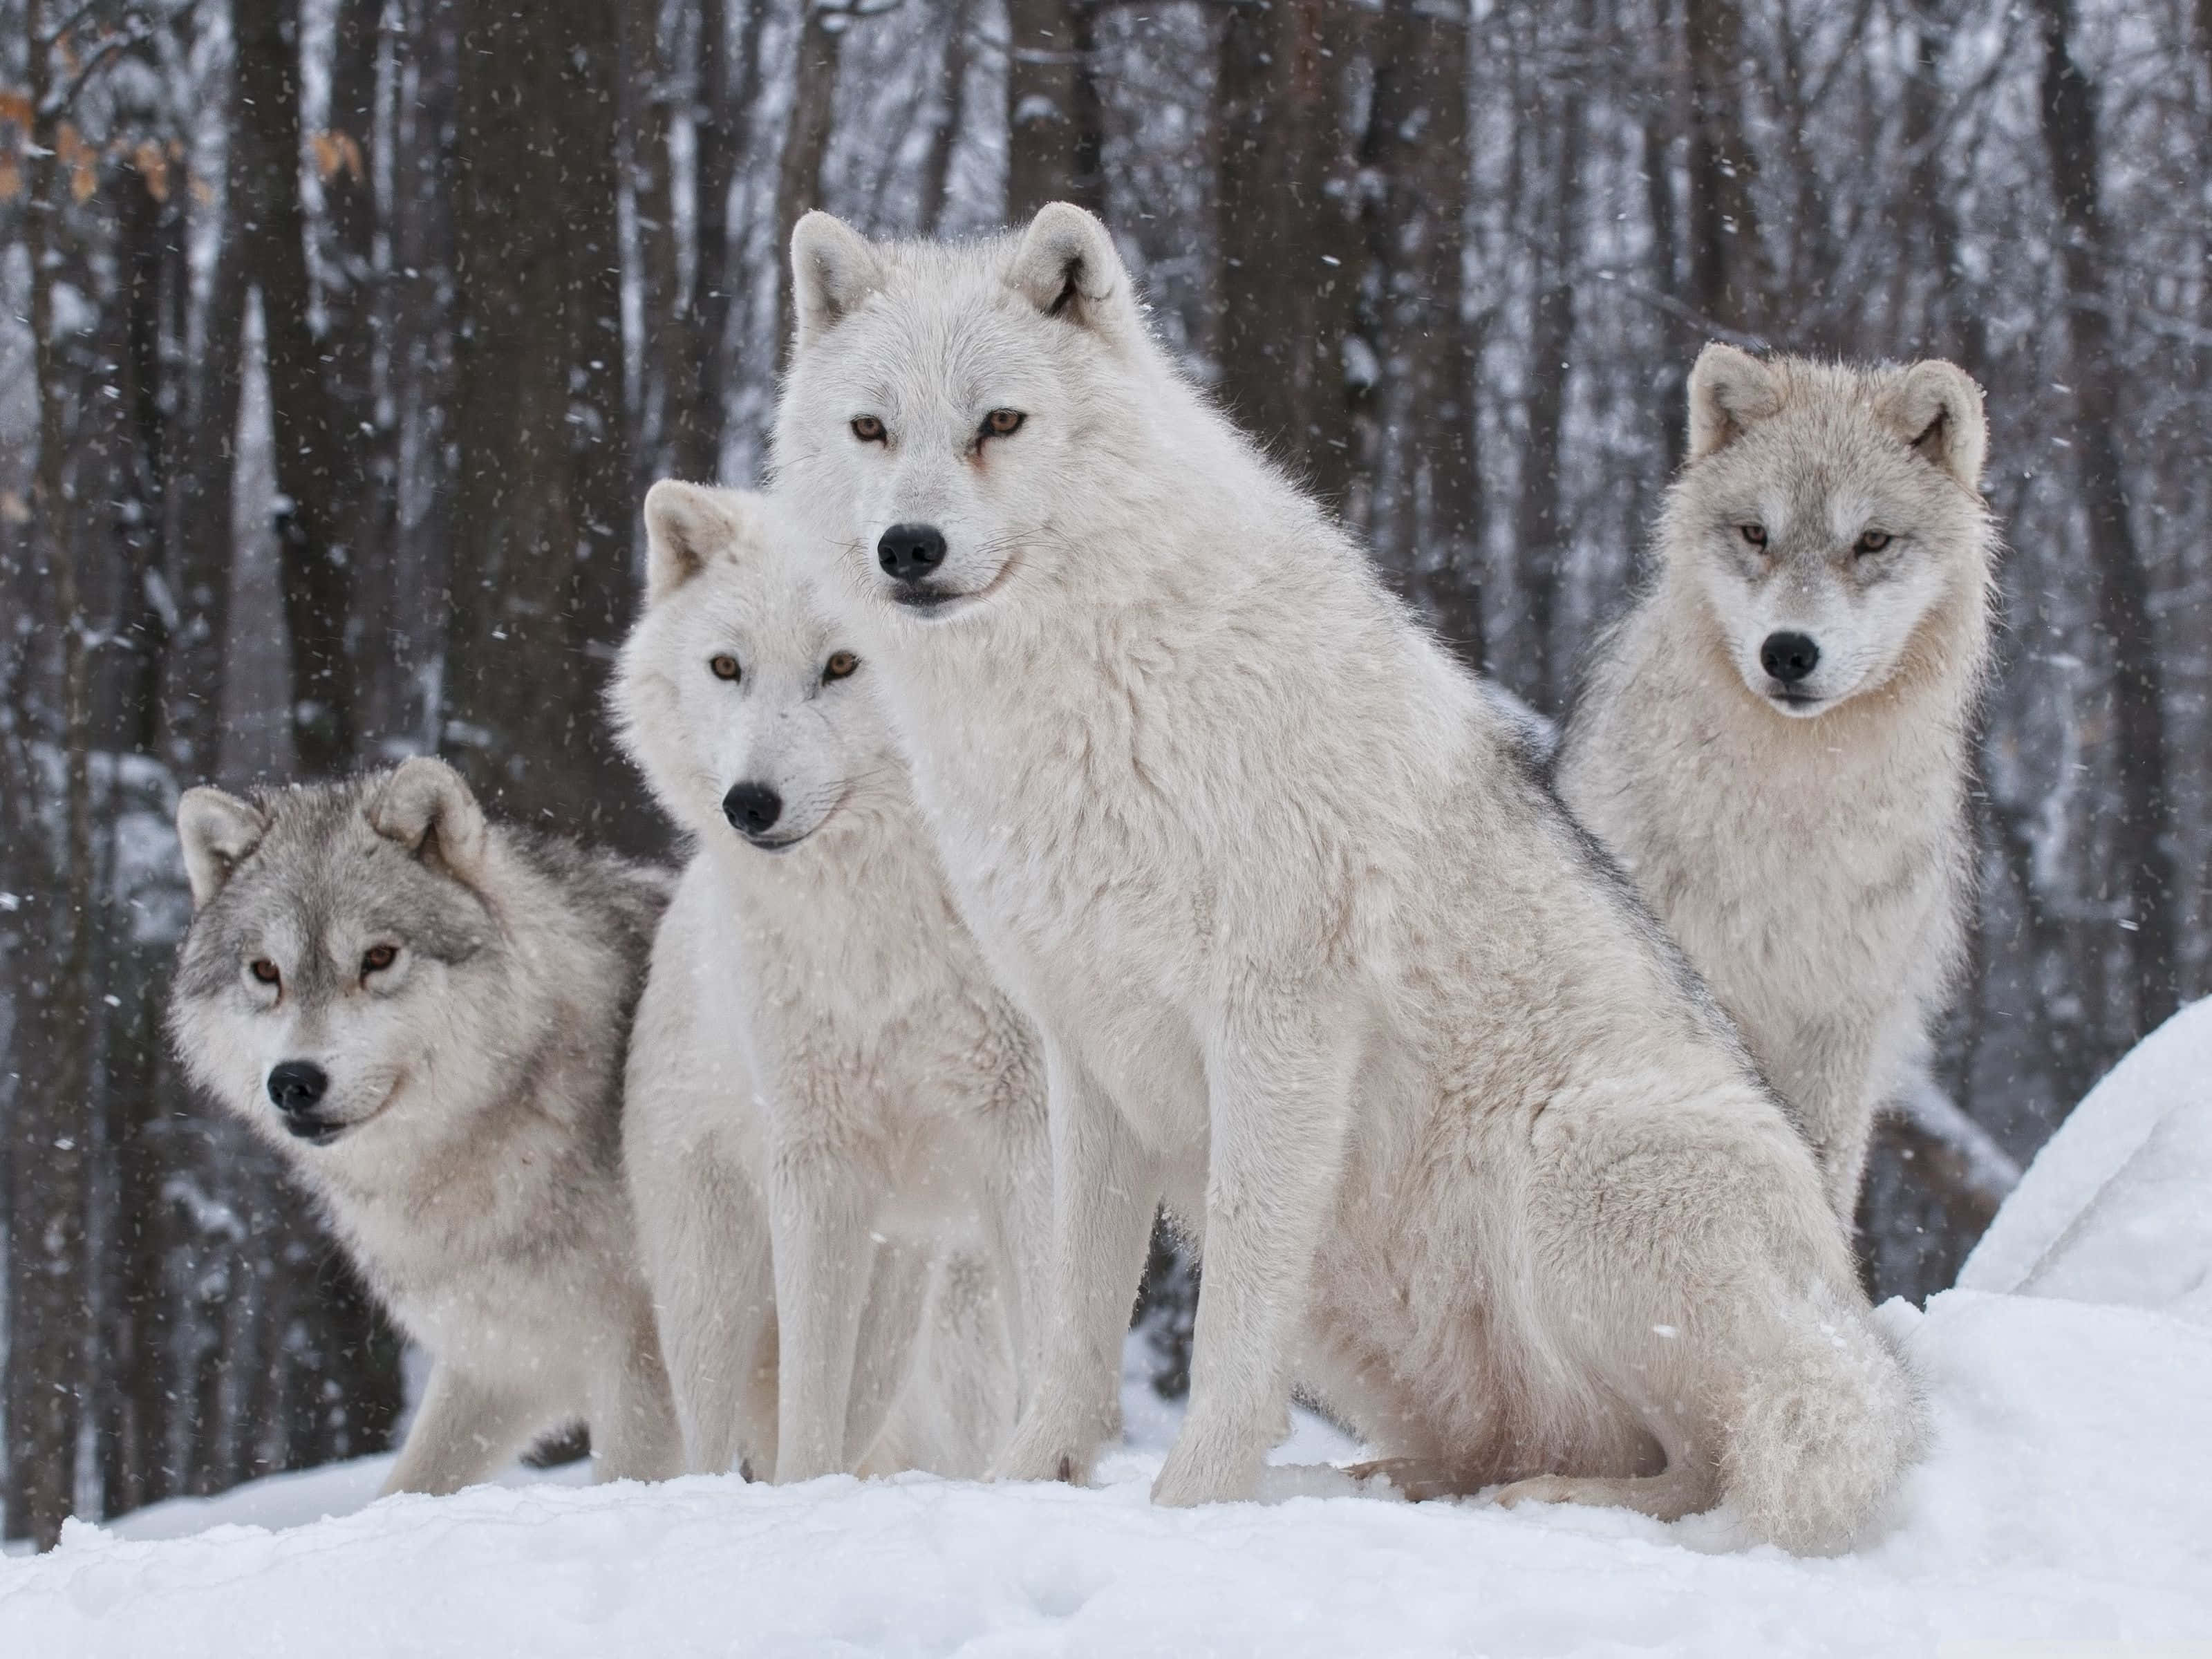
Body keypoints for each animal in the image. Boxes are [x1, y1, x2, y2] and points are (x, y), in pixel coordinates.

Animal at [168, 759, 683, 1496]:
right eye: (266, 972)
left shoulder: (646, 1359)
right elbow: (409, 1485)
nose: (294, 1082)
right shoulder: (502, 1361)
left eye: (379, 958)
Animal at [612, 480, 1048, 1483]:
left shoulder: (1027, 1131)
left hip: (910, 1299)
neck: (886, 920)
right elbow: (808, 1405)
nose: (748, 805)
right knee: (714, 1441)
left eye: (845, 663)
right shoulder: (815, 1162)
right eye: (726, 667)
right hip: (716, 1287)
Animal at [769, 203, 1921, 1553]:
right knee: (1515, 1446)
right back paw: (1386, 1485)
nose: (910, 547)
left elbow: (1230, 1327)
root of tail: (1858, 1329)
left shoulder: (1278, 1027)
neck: (1087, 695)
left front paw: (1192, 1508)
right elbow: (1072, 1322)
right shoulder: (1086, 1053)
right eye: (872, 428)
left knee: (1711, 1460)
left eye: (999, 423)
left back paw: (1548, 1503)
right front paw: (1026, 1485)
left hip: (1580, 1166)